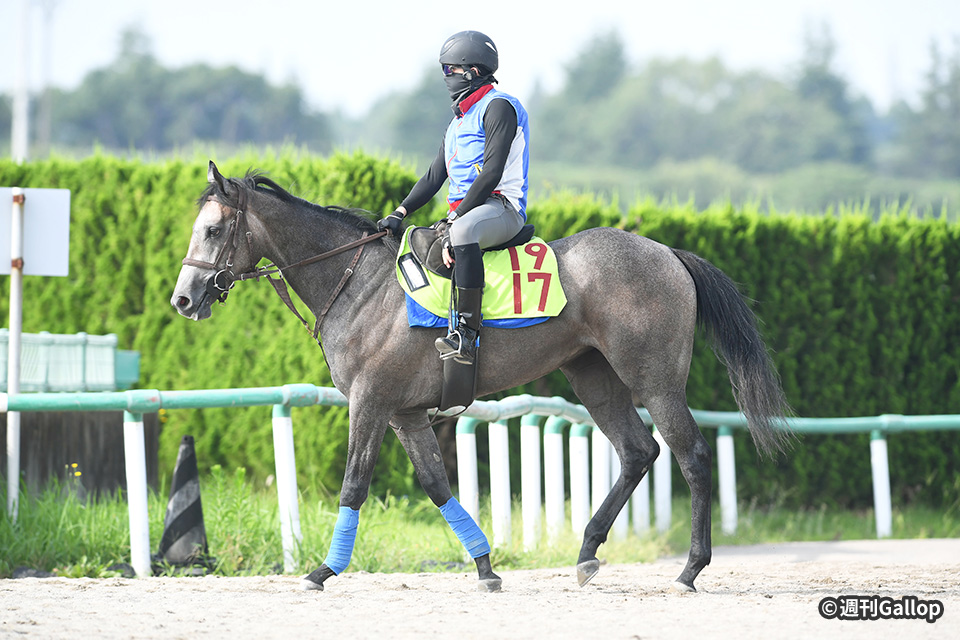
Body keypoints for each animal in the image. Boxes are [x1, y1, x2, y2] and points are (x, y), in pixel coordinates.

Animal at [172, 161, 792, 593]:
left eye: (213, 231)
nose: (183, 299)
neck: (360, 284)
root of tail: (667, 252)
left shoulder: (370, 404)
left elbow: (354, 485)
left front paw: (323, 570)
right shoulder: (405, 414)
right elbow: (438, 486)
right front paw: (486, 566)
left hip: (653, 379)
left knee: (692, 455)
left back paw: (689, 570)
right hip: (591, 376)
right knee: (639, 452)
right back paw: (587, 553)